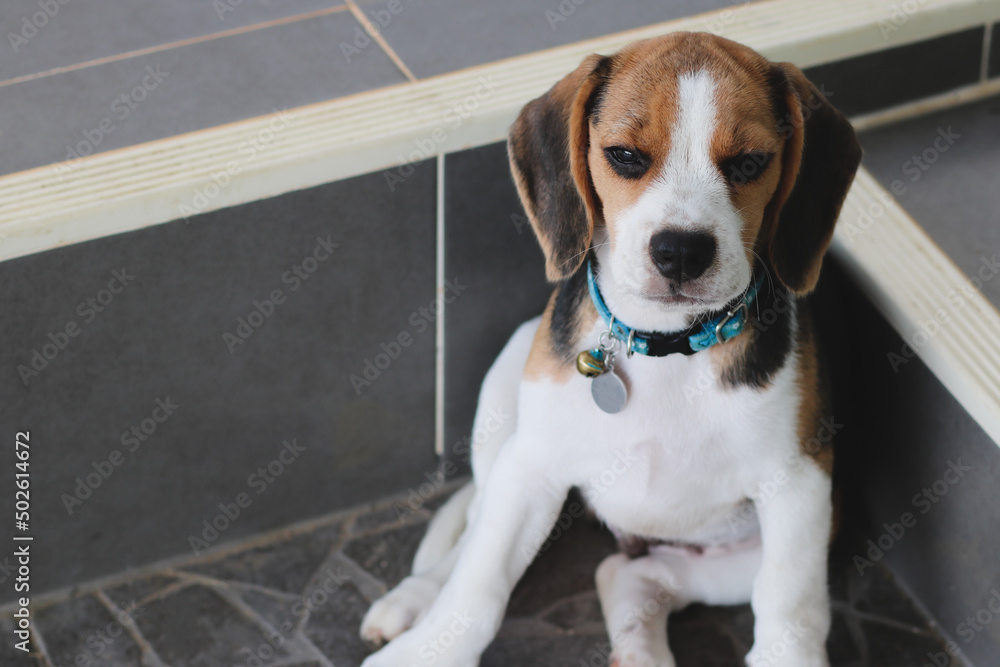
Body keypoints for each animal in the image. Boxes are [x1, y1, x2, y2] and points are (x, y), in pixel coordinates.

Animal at [358, 32, 860, 667]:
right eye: (624, 156)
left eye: (749, 163)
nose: (680, 252)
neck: (667, 344)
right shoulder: (531, 467)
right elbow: (480, 582)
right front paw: (428, 651)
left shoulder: (800, 487)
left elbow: (790, 606)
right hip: (509, 391)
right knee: (475, 530)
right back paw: (416, 597)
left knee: (633, 577)